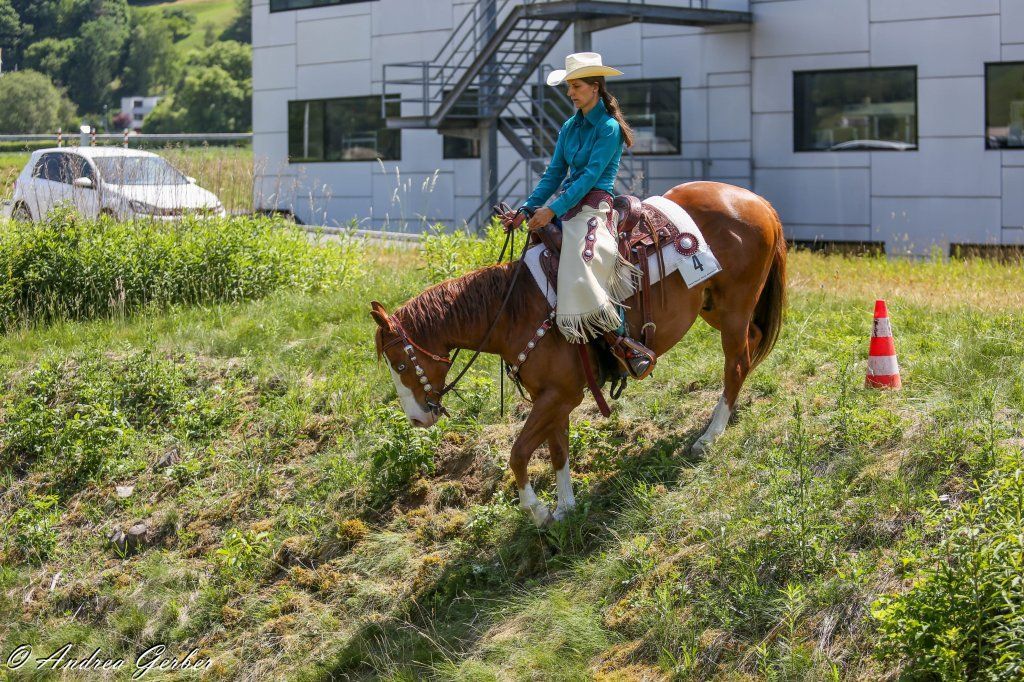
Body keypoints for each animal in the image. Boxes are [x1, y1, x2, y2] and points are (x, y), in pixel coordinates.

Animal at [370, 181, 786, 527]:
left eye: (401, 363)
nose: (417, 419)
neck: (514, 309)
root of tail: (757, 201)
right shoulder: (552, 396)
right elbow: (558, 451)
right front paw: (565, 508)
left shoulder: (562, 395)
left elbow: (518, 453)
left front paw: (538, 512)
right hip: (714, 306)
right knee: (752, 343)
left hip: (733, 308)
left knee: (736, 363)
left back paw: (710, 436)